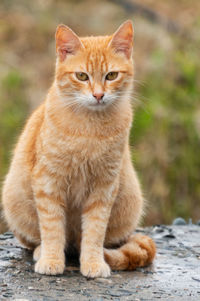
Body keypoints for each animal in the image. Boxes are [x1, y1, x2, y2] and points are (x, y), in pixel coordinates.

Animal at [2, 20, 157, 276]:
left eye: (111, 75)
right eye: (82, 76)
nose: (98, 95)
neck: (90, 131)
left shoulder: (104, 187)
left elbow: (94, 231)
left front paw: (93, 262)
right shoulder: (48, 182)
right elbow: (52, 228)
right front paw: (52, 260)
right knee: (35, 240)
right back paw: (41, 251)